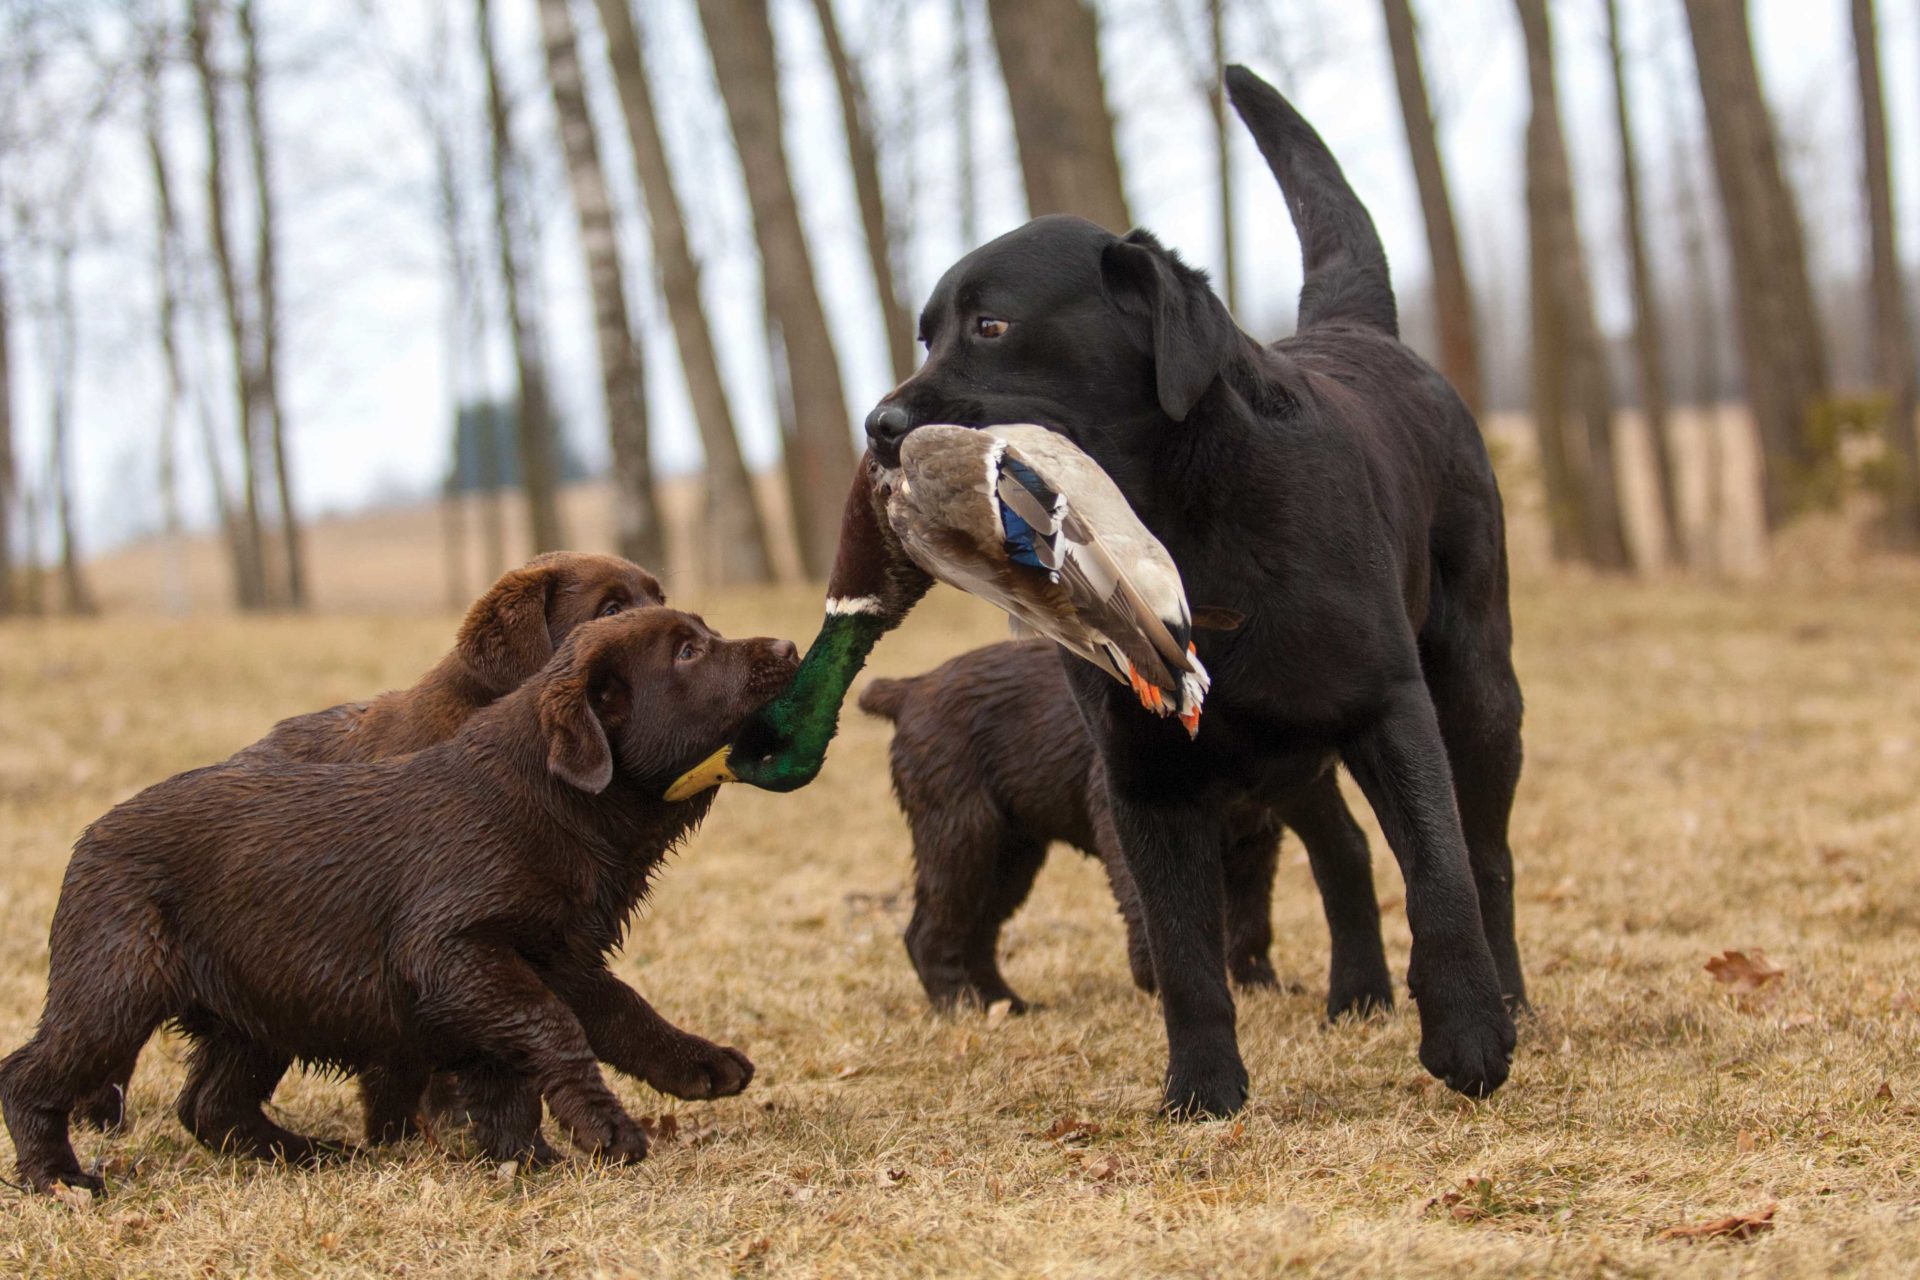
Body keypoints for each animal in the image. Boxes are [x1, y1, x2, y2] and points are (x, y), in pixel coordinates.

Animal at [0, 610, 794, 1189]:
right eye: (688, 652)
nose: (788, 644)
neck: (553, 800)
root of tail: (89, 836)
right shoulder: (452, 950)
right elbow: (554, 1029)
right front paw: (601, 1130)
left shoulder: (550, 956)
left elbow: (608, 1017)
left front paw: (683, 1070)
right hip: (116, 989)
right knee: (30, 1074)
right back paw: (57, 1178)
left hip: (259, 1003)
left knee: (211, 1105)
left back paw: (307, 1154)